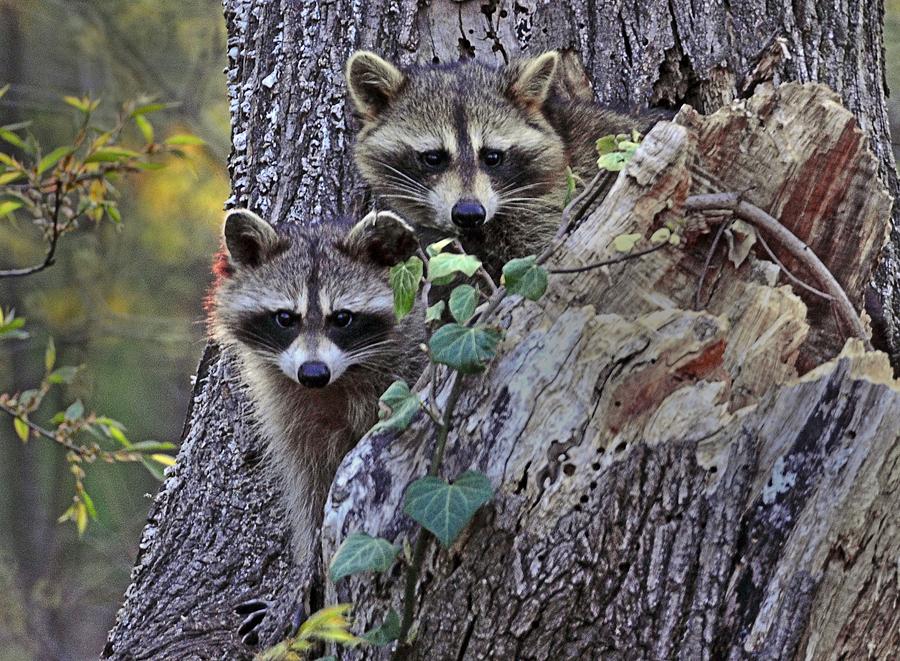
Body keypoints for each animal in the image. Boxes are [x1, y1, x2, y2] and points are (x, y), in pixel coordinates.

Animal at [209, 206, 428, 556]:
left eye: (342, 318)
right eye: (285, 318)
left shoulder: (404, 373)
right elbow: (309, 484)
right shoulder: (293, 419)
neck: (336, 383)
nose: (313, 373)